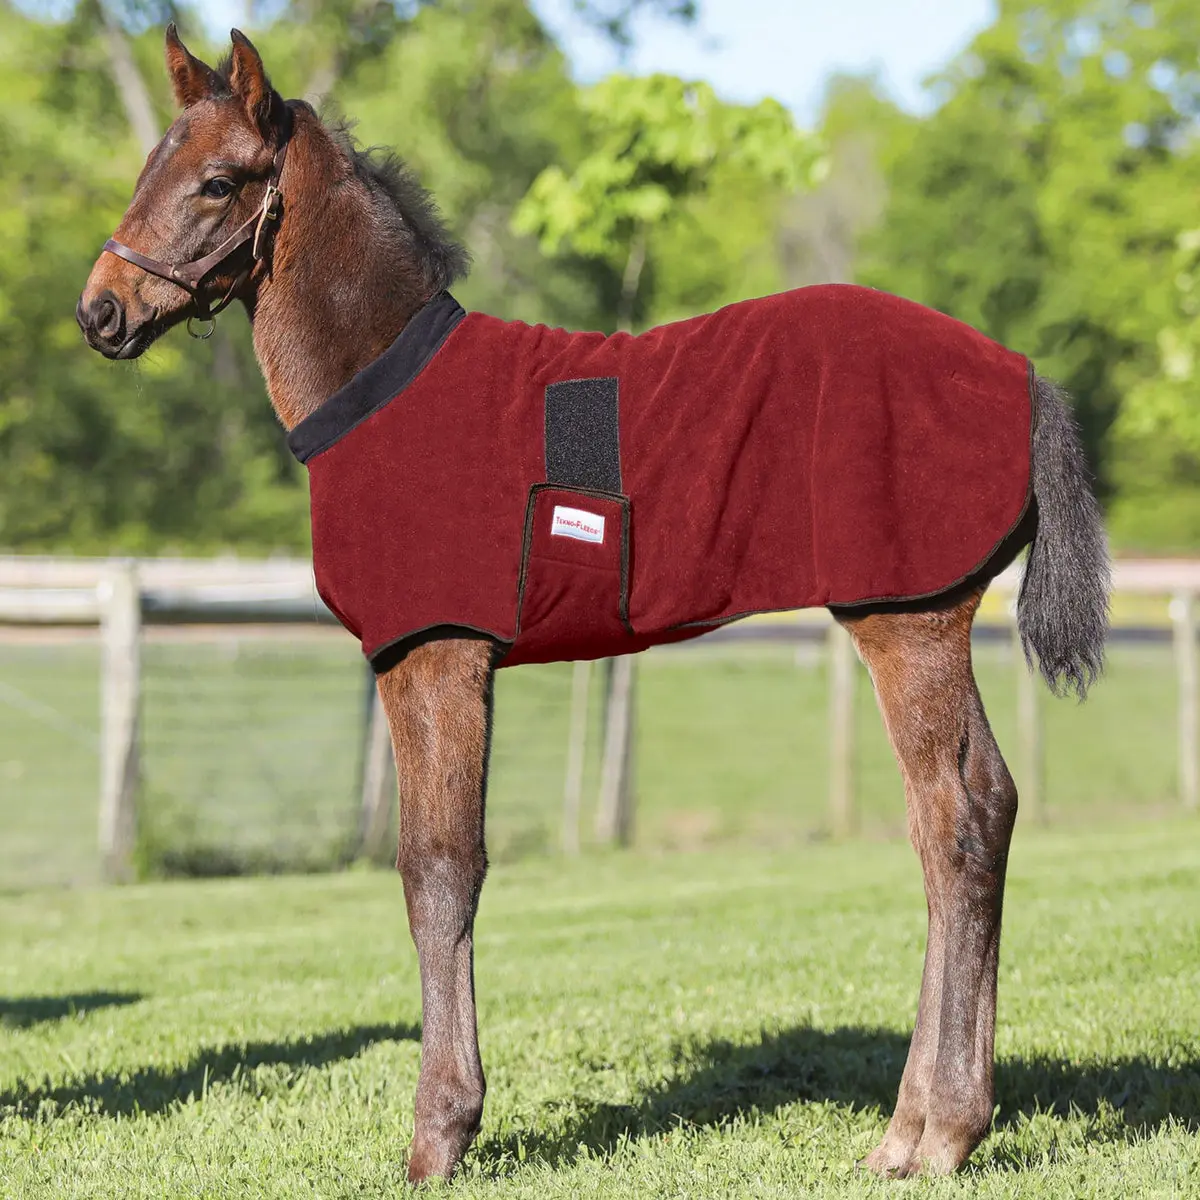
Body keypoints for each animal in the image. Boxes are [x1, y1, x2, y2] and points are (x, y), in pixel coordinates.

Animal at [77, 26, 1109, 1182]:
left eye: (218, 181)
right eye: (148, 167)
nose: (99, 312)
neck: (385, 387)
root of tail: (1022, 376)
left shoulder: (437, 654)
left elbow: (439, 870)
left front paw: (440, 1136)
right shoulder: (415, 659)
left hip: (908, 618)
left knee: (958, 818)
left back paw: (934, 1131)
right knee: (978, 810)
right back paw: (929, 1125)